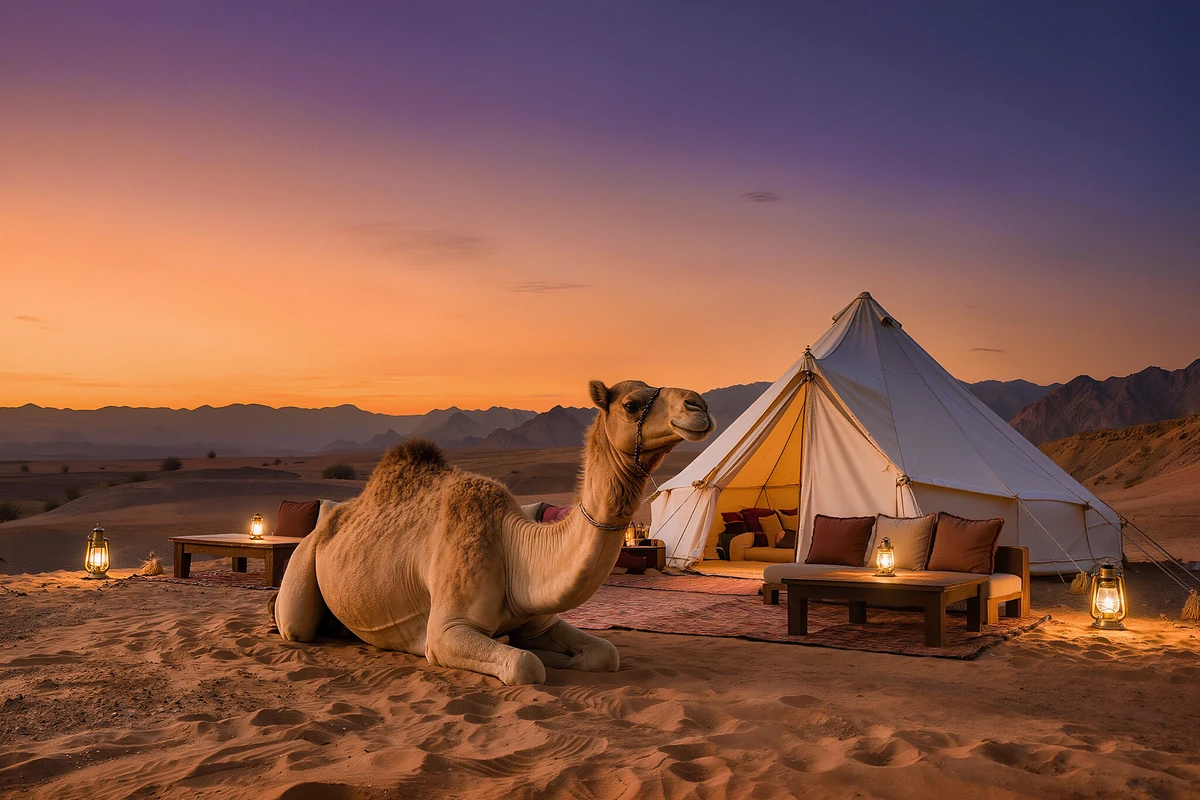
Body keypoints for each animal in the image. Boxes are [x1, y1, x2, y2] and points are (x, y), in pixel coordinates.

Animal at [273, 380, 713, 685]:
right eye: (631, 404)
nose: (699, 404)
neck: (514, 547)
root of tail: (325, 522)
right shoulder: (446, 631)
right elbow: (525, 665)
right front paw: (527, 654)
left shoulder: (541, 621)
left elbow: (605, 654)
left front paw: (557, 656)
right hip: (302, 567)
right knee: (294, 625)